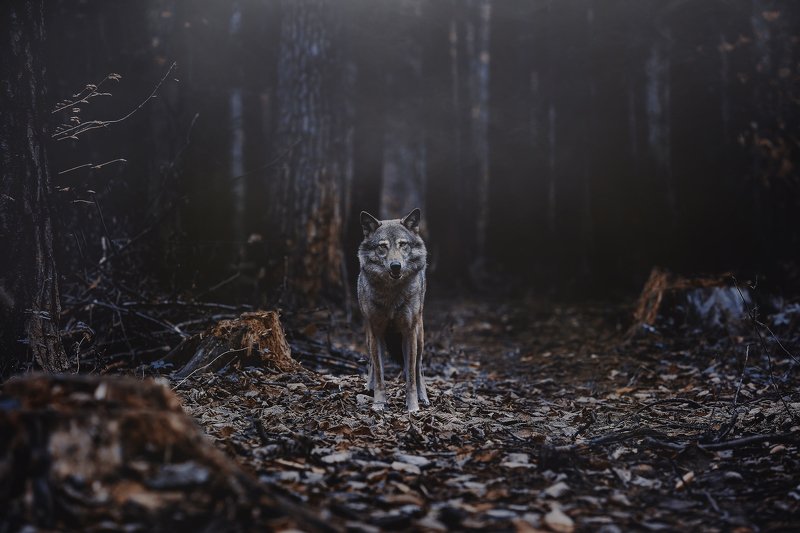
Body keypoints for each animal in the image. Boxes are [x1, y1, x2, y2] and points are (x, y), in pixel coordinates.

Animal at [358, 208, 429, 412]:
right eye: (383, 247)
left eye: (402, 244)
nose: (395, 266)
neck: (392, 294)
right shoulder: (376, 332)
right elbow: (380, 374)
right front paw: (379, 403)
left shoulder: (409, 333)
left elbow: (411, 377)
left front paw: (413, 407)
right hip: (369, 337)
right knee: (372, 363)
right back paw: (369, 386)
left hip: (420, 336)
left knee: (419, 368)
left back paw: (424, 397)